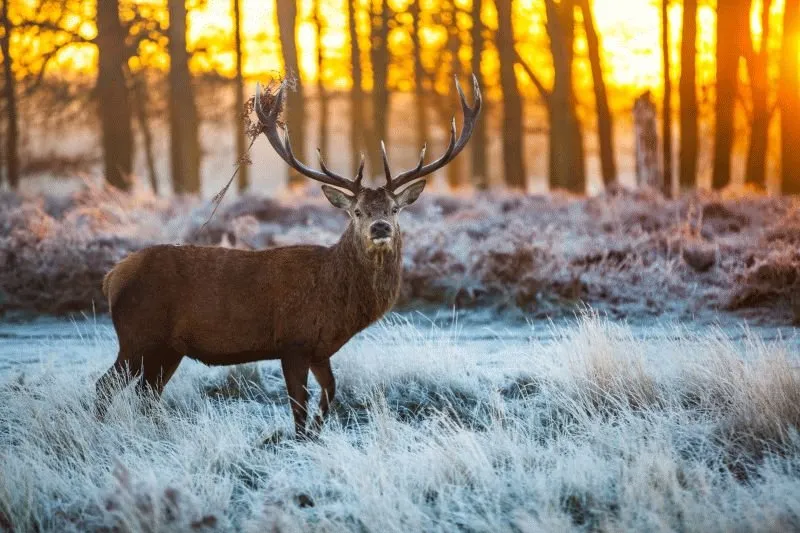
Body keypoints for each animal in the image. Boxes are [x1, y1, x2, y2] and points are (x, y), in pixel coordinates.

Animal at [95, 75, 481, 438]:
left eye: (395, 209)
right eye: (357, 211)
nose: (381, 228)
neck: (339, 305)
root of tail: (111, 277)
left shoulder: (320, 349)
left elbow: (330, 393)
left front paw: (316, 433)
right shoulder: (293, 342)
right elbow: (298, 405)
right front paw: (299, 439)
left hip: (167, 349)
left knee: (147, 394)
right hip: (137, 336)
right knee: (105, 386)